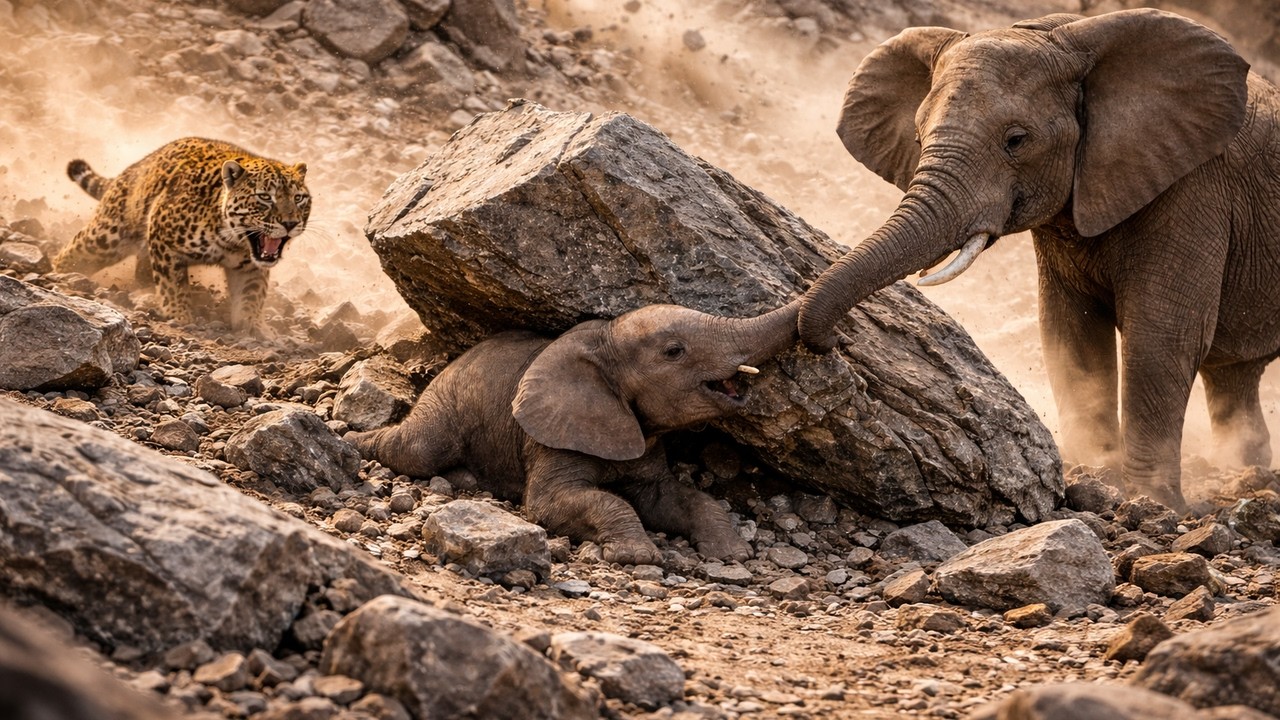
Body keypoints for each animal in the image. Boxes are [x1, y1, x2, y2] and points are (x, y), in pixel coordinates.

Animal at [349, 299, 800, 565]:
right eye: (675, 351)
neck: (603, 345)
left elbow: (672, 497)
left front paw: (732, 554)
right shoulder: (550, 436)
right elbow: (551, 504)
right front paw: (638, 556)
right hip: (446, 401)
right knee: (420, 450)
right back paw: (353, 443)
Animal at [796, 8, 1280, 510]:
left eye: (1016, 140)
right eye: (916, 135)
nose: (833, 340)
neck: (1066, 34)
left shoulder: (1195, 188)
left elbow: (1162, 337)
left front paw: (1155, 502)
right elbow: (1071, 334)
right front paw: (1099, 478)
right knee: (1232, 377)